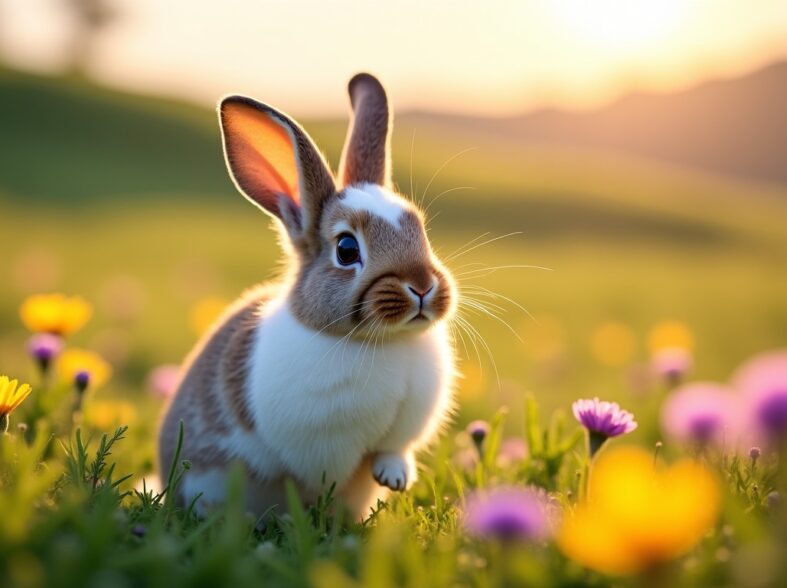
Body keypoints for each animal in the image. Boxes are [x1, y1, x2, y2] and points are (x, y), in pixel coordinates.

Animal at [158, 73, 457, 520]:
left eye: (420, 229)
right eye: (347, 249)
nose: (422, 285)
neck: (384, 343)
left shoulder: (402, 432)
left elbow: (393, 451)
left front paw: (393, 479)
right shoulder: (322, 446)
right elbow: (322, 478)